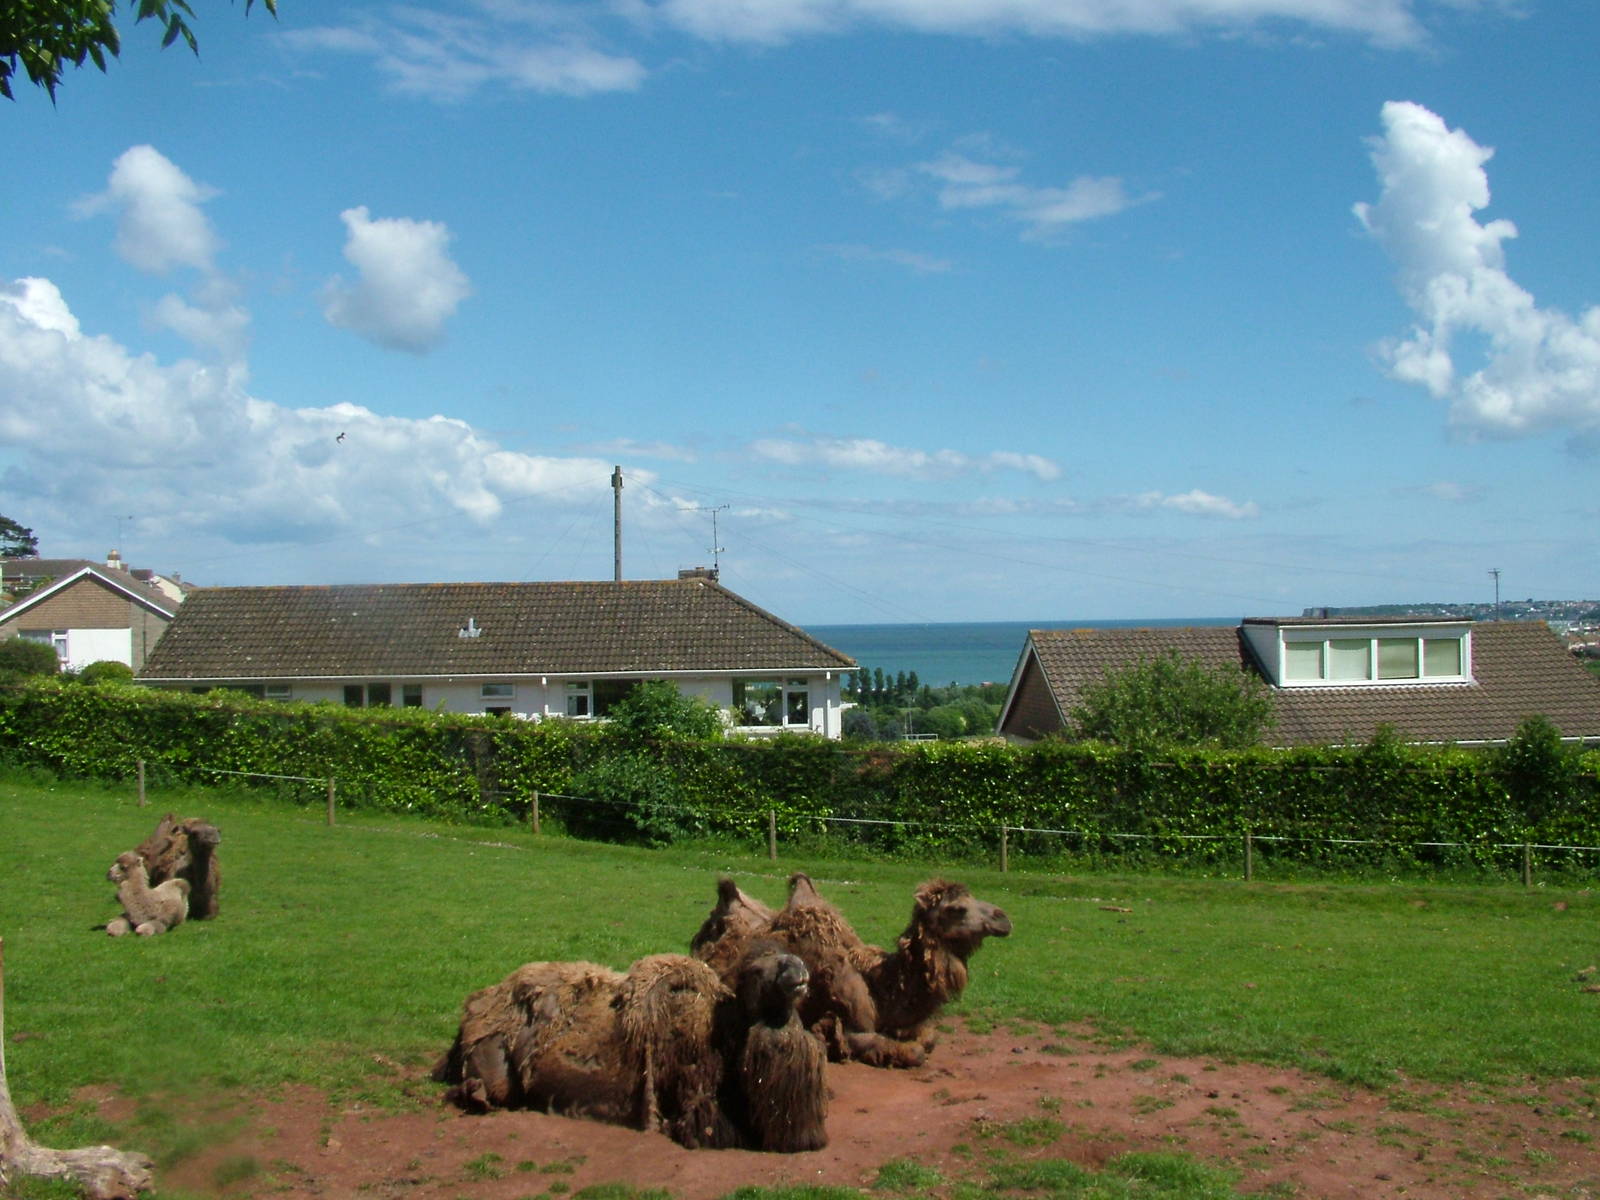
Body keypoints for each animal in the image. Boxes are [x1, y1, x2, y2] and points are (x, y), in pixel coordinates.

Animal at [692, 872, 1012, 1068]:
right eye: (955, 908)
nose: (1003, 918)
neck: (880, 986)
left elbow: (929, 1037)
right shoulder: (854, 1029)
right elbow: (916, 1052)